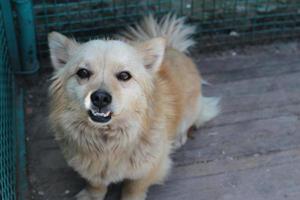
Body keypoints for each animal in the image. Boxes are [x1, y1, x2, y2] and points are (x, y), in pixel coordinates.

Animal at [48, 14, 219, 200]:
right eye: (83, 73)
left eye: (124, 75)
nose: (100, 98)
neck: (107, 141)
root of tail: (173, 47)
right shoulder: (91, 168)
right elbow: (95, 184)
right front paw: (92, 195)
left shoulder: (150, 168)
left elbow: (133, 189)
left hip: (190, 111)